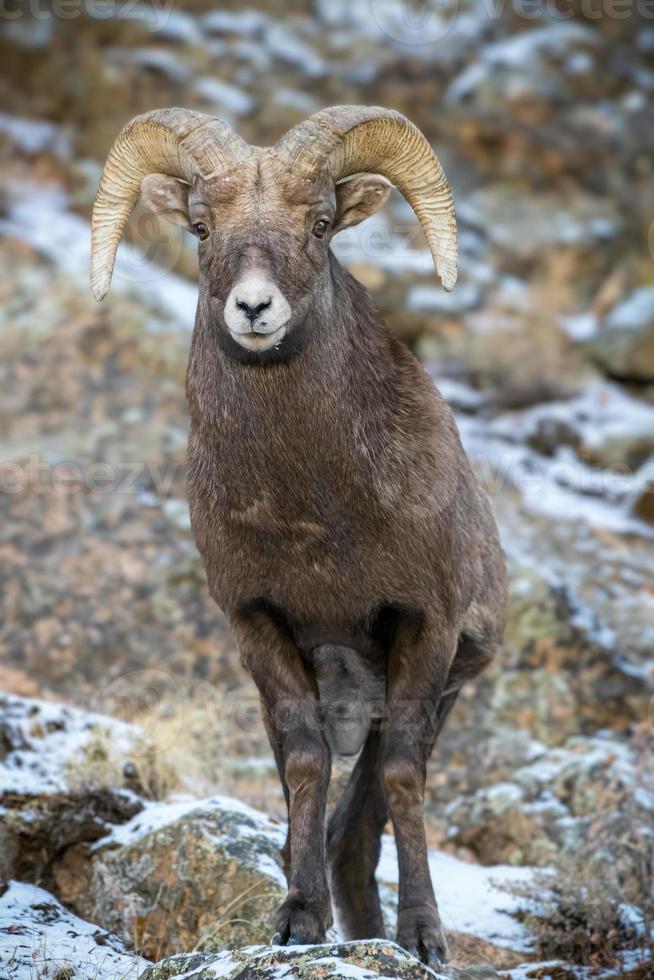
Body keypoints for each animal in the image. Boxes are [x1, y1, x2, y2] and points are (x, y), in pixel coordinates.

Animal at [92, 105, 510, 964]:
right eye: (200, 225)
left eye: (319, 225)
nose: (254, 310)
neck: (315, 517)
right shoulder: (261, 627)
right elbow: (307, 764)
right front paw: (297, 922)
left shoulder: (427, 629)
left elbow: (403, 778)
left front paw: (424, 940)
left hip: (434, 687)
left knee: (371, 807)